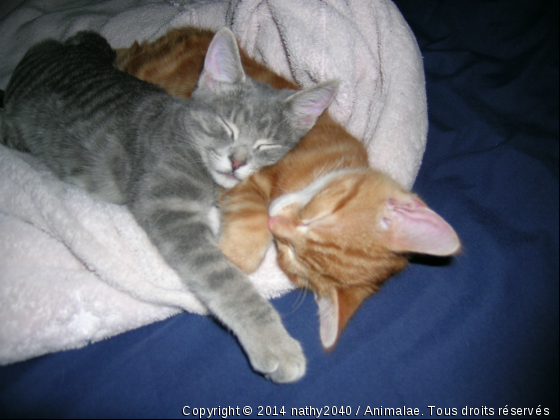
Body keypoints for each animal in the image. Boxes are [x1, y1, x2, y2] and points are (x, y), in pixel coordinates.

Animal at [2, 28, 340, 384]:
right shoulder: (168, 205)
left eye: (267, 144)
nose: (237, 162)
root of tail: (55, 48)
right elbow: (225, 278)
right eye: (226, 126)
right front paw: (273, 343)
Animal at [115, 27, 460, 352]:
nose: (275, 222)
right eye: (319, 214)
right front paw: (231, 256)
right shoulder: (249, 181)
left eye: (291, 258)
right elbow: (248, 225)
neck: (320, 167)